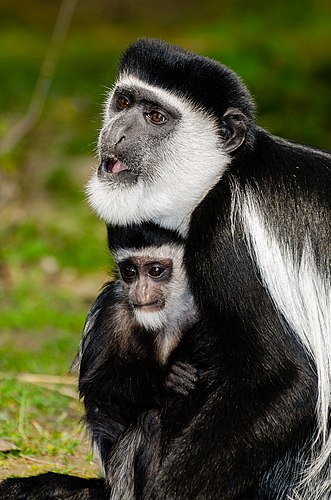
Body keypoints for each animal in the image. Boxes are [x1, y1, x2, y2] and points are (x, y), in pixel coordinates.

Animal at [78, 224, 200, 500]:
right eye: (130, 272)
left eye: (155, 271)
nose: (141, 292)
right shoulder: (113, 311)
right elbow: (96, 385)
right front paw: (165, 379)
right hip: (122, 475)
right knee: (150, 422)